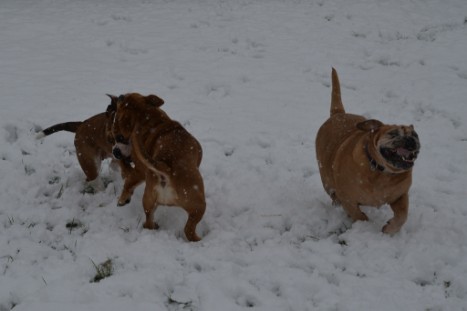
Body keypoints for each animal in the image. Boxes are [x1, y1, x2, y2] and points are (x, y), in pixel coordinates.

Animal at [110, 92, 206, 241]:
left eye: (127, 96)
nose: (120, 95)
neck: (147, 118)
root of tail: (166, 169)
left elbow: (129, 182)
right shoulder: (139, 170)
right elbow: (129, 182)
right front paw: (122, 199)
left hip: (149, 199)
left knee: (148, 220)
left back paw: (152, 225)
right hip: (199, 205)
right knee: (188, 230)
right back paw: (200, 240)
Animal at [316, 69, 422, 234]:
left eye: (415, 135)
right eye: (393, 134)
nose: (411, 140)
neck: (381, 171)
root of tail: (338, 114)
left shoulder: (401, 196)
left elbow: (402, 216)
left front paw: (389, 229)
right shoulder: (348, 198)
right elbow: (358, 214)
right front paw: (364, 227)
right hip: (326, 178)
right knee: (332, 192)